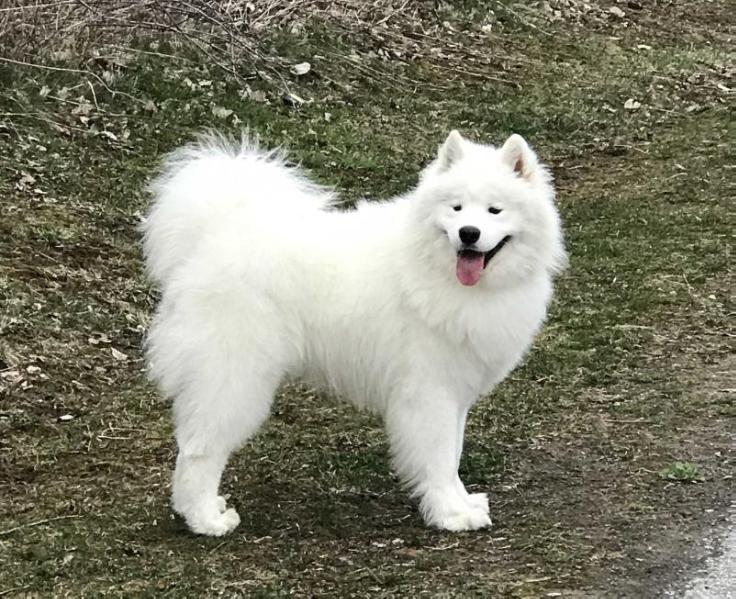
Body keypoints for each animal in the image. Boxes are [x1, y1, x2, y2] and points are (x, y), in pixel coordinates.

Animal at [145, 129, 568, 536]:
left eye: (495, 210)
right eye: (457, 208)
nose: (468, 233)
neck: (441, 271)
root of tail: (211, 238)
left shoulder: (455, 392)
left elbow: (452, 457)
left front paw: (463, 503)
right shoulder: (429, 393)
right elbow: (438, 459)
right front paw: (450, 514)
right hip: (235, 378)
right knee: (199, 450)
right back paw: (205, 520)